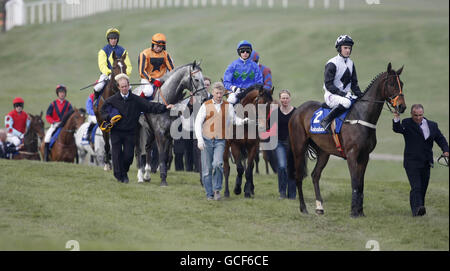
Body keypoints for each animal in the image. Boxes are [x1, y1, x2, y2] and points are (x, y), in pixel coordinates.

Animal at [288, 62, 408, 218]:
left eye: (402, 84)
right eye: (392, 84)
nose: (402, 106)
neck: (361, 116)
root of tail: (297, 111)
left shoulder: (364, 156)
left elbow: (361, 184)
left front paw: (360, 211)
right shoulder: (352, 155)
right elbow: (355, 182)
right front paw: (353, 211)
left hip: (324, 152)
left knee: (315, 175)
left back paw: (319, 207)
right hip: (298, 148)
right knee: (298, 176)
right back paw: (303, 208)